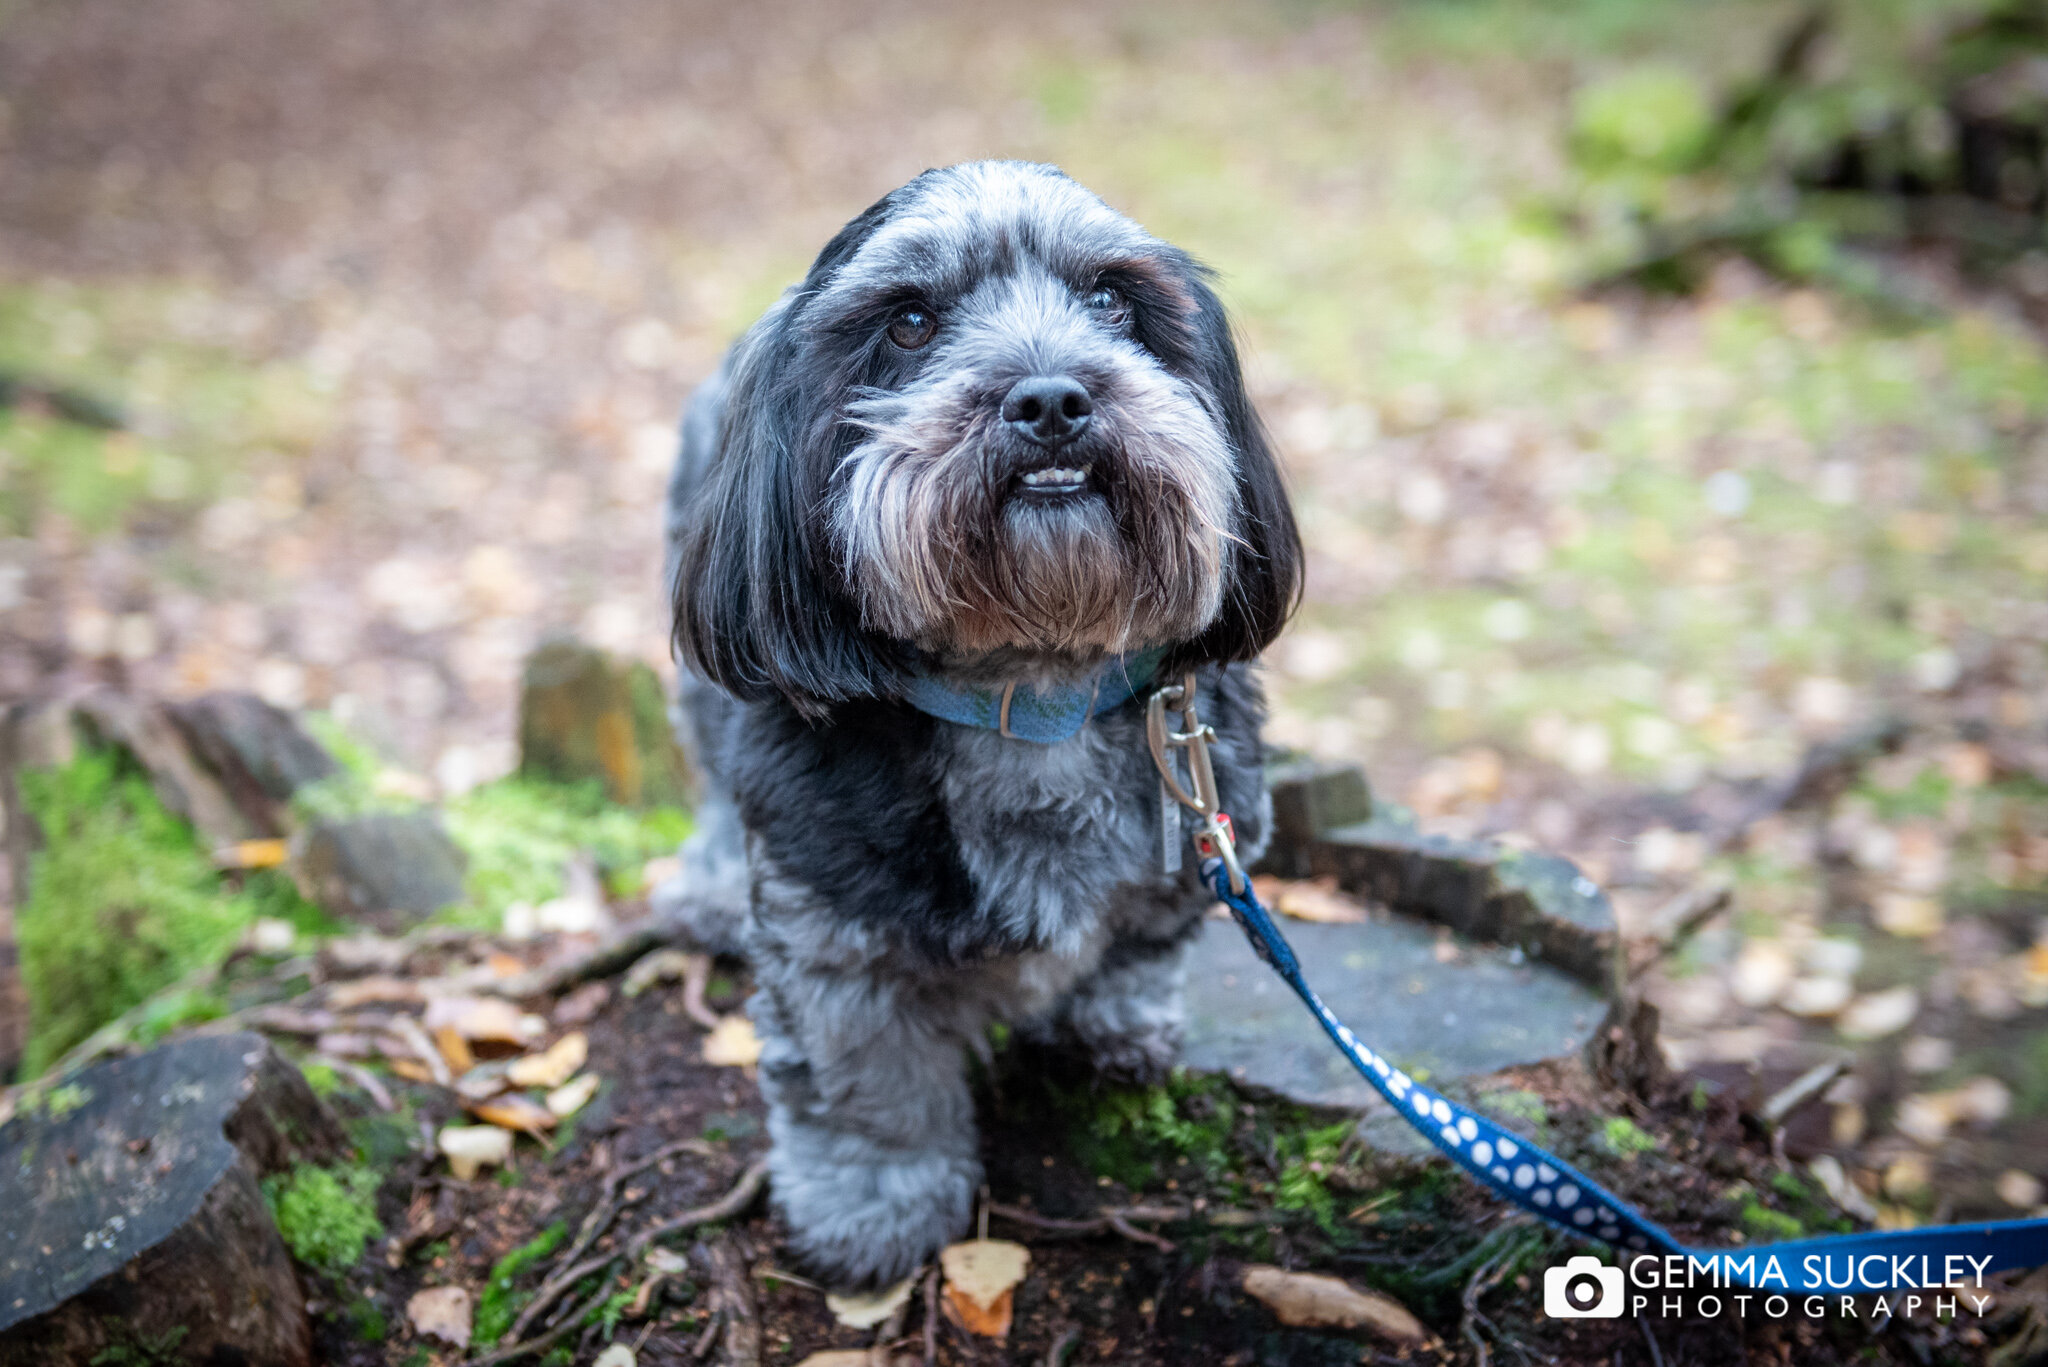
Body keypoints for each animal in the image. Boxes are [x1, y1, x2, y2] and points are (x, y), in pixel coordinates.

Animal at [659, 162, 1294, 1295]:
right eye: (910, 322)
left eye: (1111, 300)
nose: (1050, 398)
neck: (1028, 696)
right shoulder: (834, 941)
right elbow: (871, 1088)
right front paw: (873, 1211)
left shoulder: (1201, 827)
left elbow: (1140, 950)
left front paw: (1115, 1024)